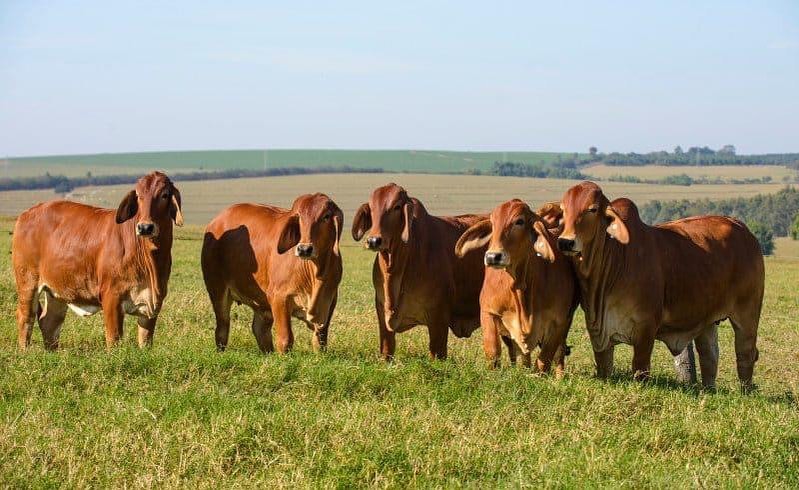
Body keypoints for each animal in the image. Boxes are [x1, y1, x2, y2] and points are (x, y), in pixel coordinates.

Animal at [13, 171, 185, 348]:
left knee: (50, 322)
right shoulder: (111, 298)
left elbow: (145, 341)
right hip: (27, 281)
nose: (145, 227)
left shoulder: (151, 305)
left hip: (57, 290)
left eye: (165, 195)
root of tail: (27, 213)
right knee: (26, 317)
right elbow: (113, 338)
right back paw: (24, 350)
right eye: (138, 195)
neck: (150, 261)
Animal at [202, 192, 342, 352]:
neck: (315, 274)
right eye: (298, 217)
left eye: (326, 216)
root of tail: (217, 220)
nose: (304, 249)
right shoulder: (279, 298)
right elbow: (285, 340)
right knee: (222, 326)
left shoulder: (330, 301)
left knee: (260, 329)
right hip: (217, 289)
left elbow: (320, 341)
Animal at [352, 184, 488, 360]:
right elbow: (387, 350)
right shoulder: (382, 314)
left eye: (396, 206)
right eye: (371, 207)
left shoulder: (439, 317)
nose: (374, 240)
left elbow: (437, 353)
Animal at [556, 180, 764, 390]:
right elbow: (604, 367)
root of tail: (742, 228)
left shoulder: (646, 327)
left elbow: (640, 368)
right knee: (709, 355)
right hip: (707, 320)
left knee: (745, 354)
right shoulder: (598, 332)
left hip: (747, 313)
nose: (565, 242)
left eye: (592, 209)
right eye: (563, 210)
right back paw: (708, 390)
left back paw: (745, 391)